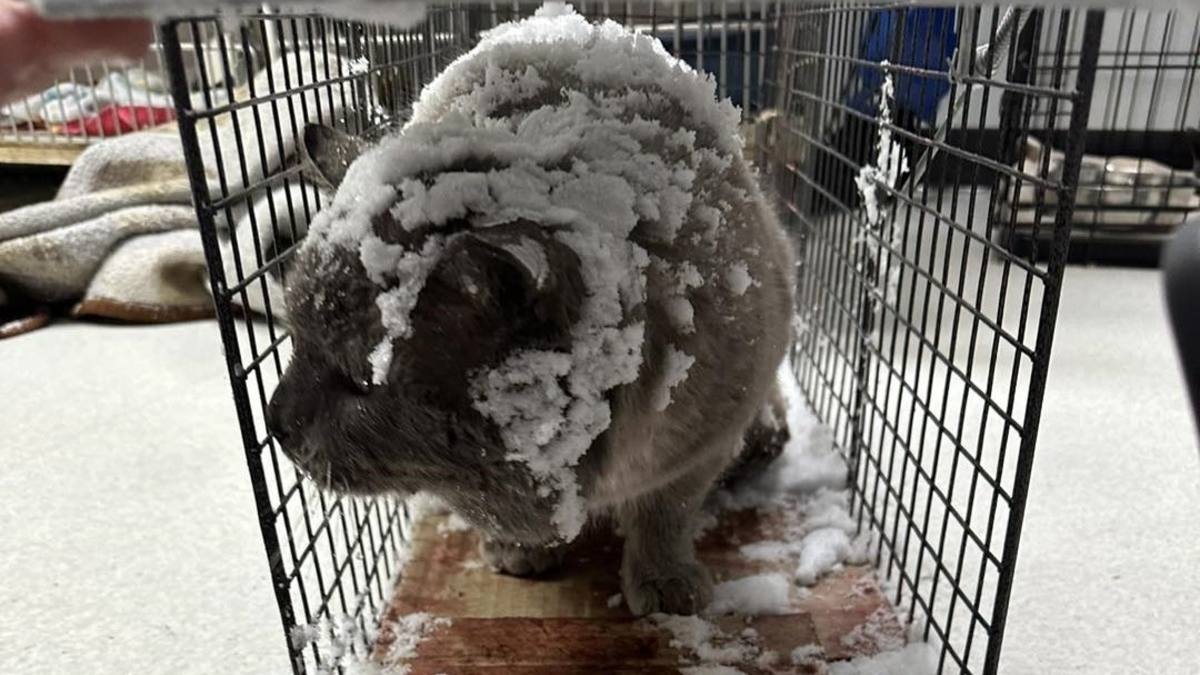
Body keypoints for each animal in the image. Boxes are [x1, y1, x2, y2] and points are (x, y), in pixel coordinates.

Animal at [266, 3, 792, 614]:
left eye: (361, 382)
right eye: (294, 339)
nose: (275, 422)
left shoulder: (701, 446)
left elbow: (665, 517)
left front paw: (664, 582)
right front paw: (518, 551)